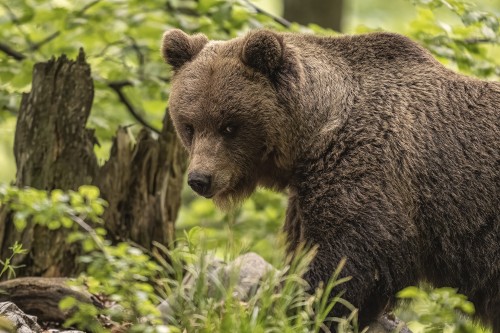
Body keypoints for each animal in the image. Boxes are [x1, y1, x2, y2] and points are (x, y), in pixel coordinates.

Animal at [161, 29, 500, 330]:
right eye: (189, 125)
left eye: (229, 126)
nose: (200, 179)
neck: (316, 137)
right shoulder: (306, 190)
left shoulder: (367, 168)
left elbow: (348, 256)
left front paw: (295, 306)